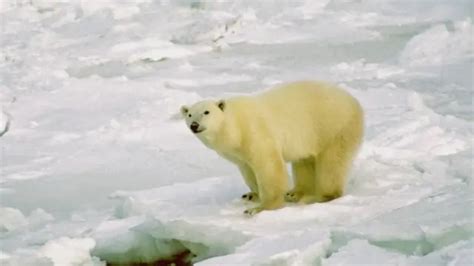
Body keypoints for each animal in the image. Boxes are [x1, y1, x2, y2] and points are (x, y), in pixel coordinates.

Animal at [181, 80, 362, 215]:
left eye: (206, 112)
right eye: (189, 114)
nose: (194, 125)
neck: (235, 126)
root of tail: (354, 101)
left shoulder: (255, 133)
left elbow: (268, 167)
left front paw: (260, 208)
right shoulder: (239, 153)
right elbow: (248, 170)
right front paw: (251, 195)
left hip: (333, 127)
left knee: (332, 164)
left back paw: (324, 196)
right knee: (304, 160)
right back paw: (295, 192)